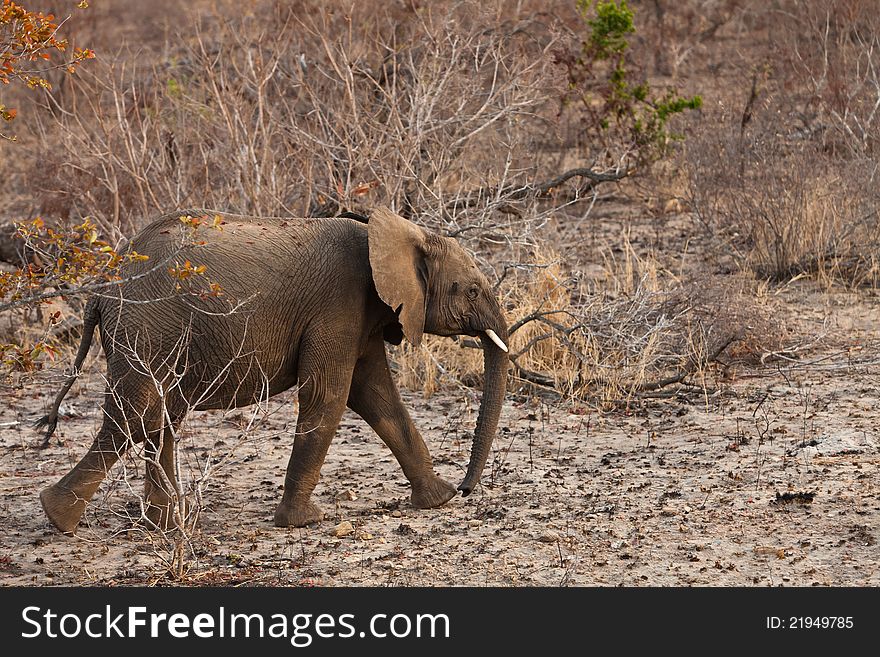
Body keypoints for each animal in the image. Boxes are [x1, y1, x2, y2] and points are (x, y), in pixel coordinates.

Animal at [39, 205, 508, 532]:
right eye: (471, 290)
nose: (467, 488)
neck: (398, 231)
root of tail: (101, 288)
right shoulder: (338, 305)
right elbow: (329, 395)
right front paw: (304, 521)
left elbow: (377, 398)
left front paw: (438, 500)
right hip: (147, 329)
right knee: (136, 416)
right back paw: (60, 519)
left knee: (160, 417)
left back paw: (168, 524)